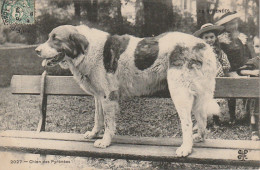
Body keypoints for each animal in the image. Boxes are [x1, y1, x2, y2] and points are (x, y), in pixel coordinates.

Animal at [35, 24, 219, 157]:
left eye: (56, 39)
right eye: (49, 38)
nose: (36, 50)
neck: (87, 51)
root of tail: (203, 45)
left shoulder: (108, 96)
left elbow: (108, 123)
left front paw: (105, 141)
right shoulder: (98, 96)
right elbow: (98, 118)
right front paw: (94, 133)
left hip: (179, 92)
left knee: (186, 123)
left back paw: (186, 148)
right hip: (197, 95)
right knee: (202, 118)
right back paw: (199, 137)